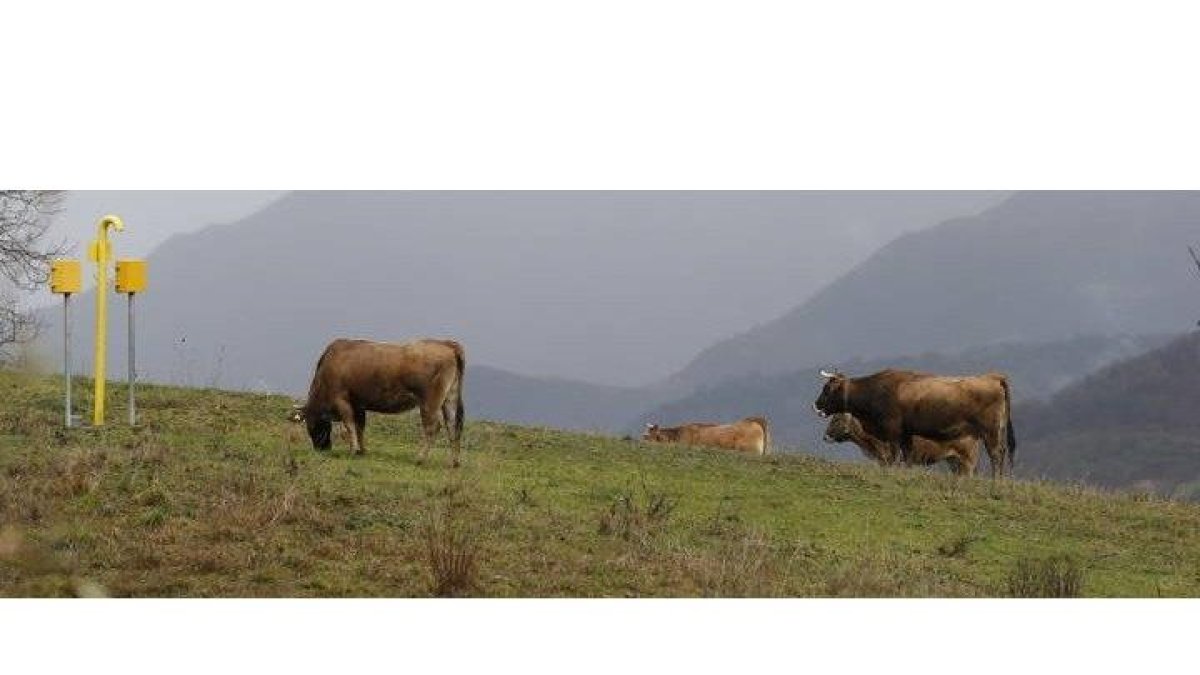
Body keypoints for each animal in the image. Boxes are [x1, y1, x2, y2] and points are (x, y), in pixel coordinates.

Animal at [291, 338, 466, 467]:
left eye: (311, 426)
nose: (322, 449)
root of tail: (446, 344)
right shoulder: (359, 404)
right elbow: (360, 426)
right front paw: (362, 450)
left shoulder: (342, 400)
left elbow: (349, 425)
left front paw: (353, 450)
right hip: (450, 397)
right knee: (452, 426)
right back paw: (454, 462)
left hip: (429, 401)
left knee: (433, 427)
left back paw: (420, 458)